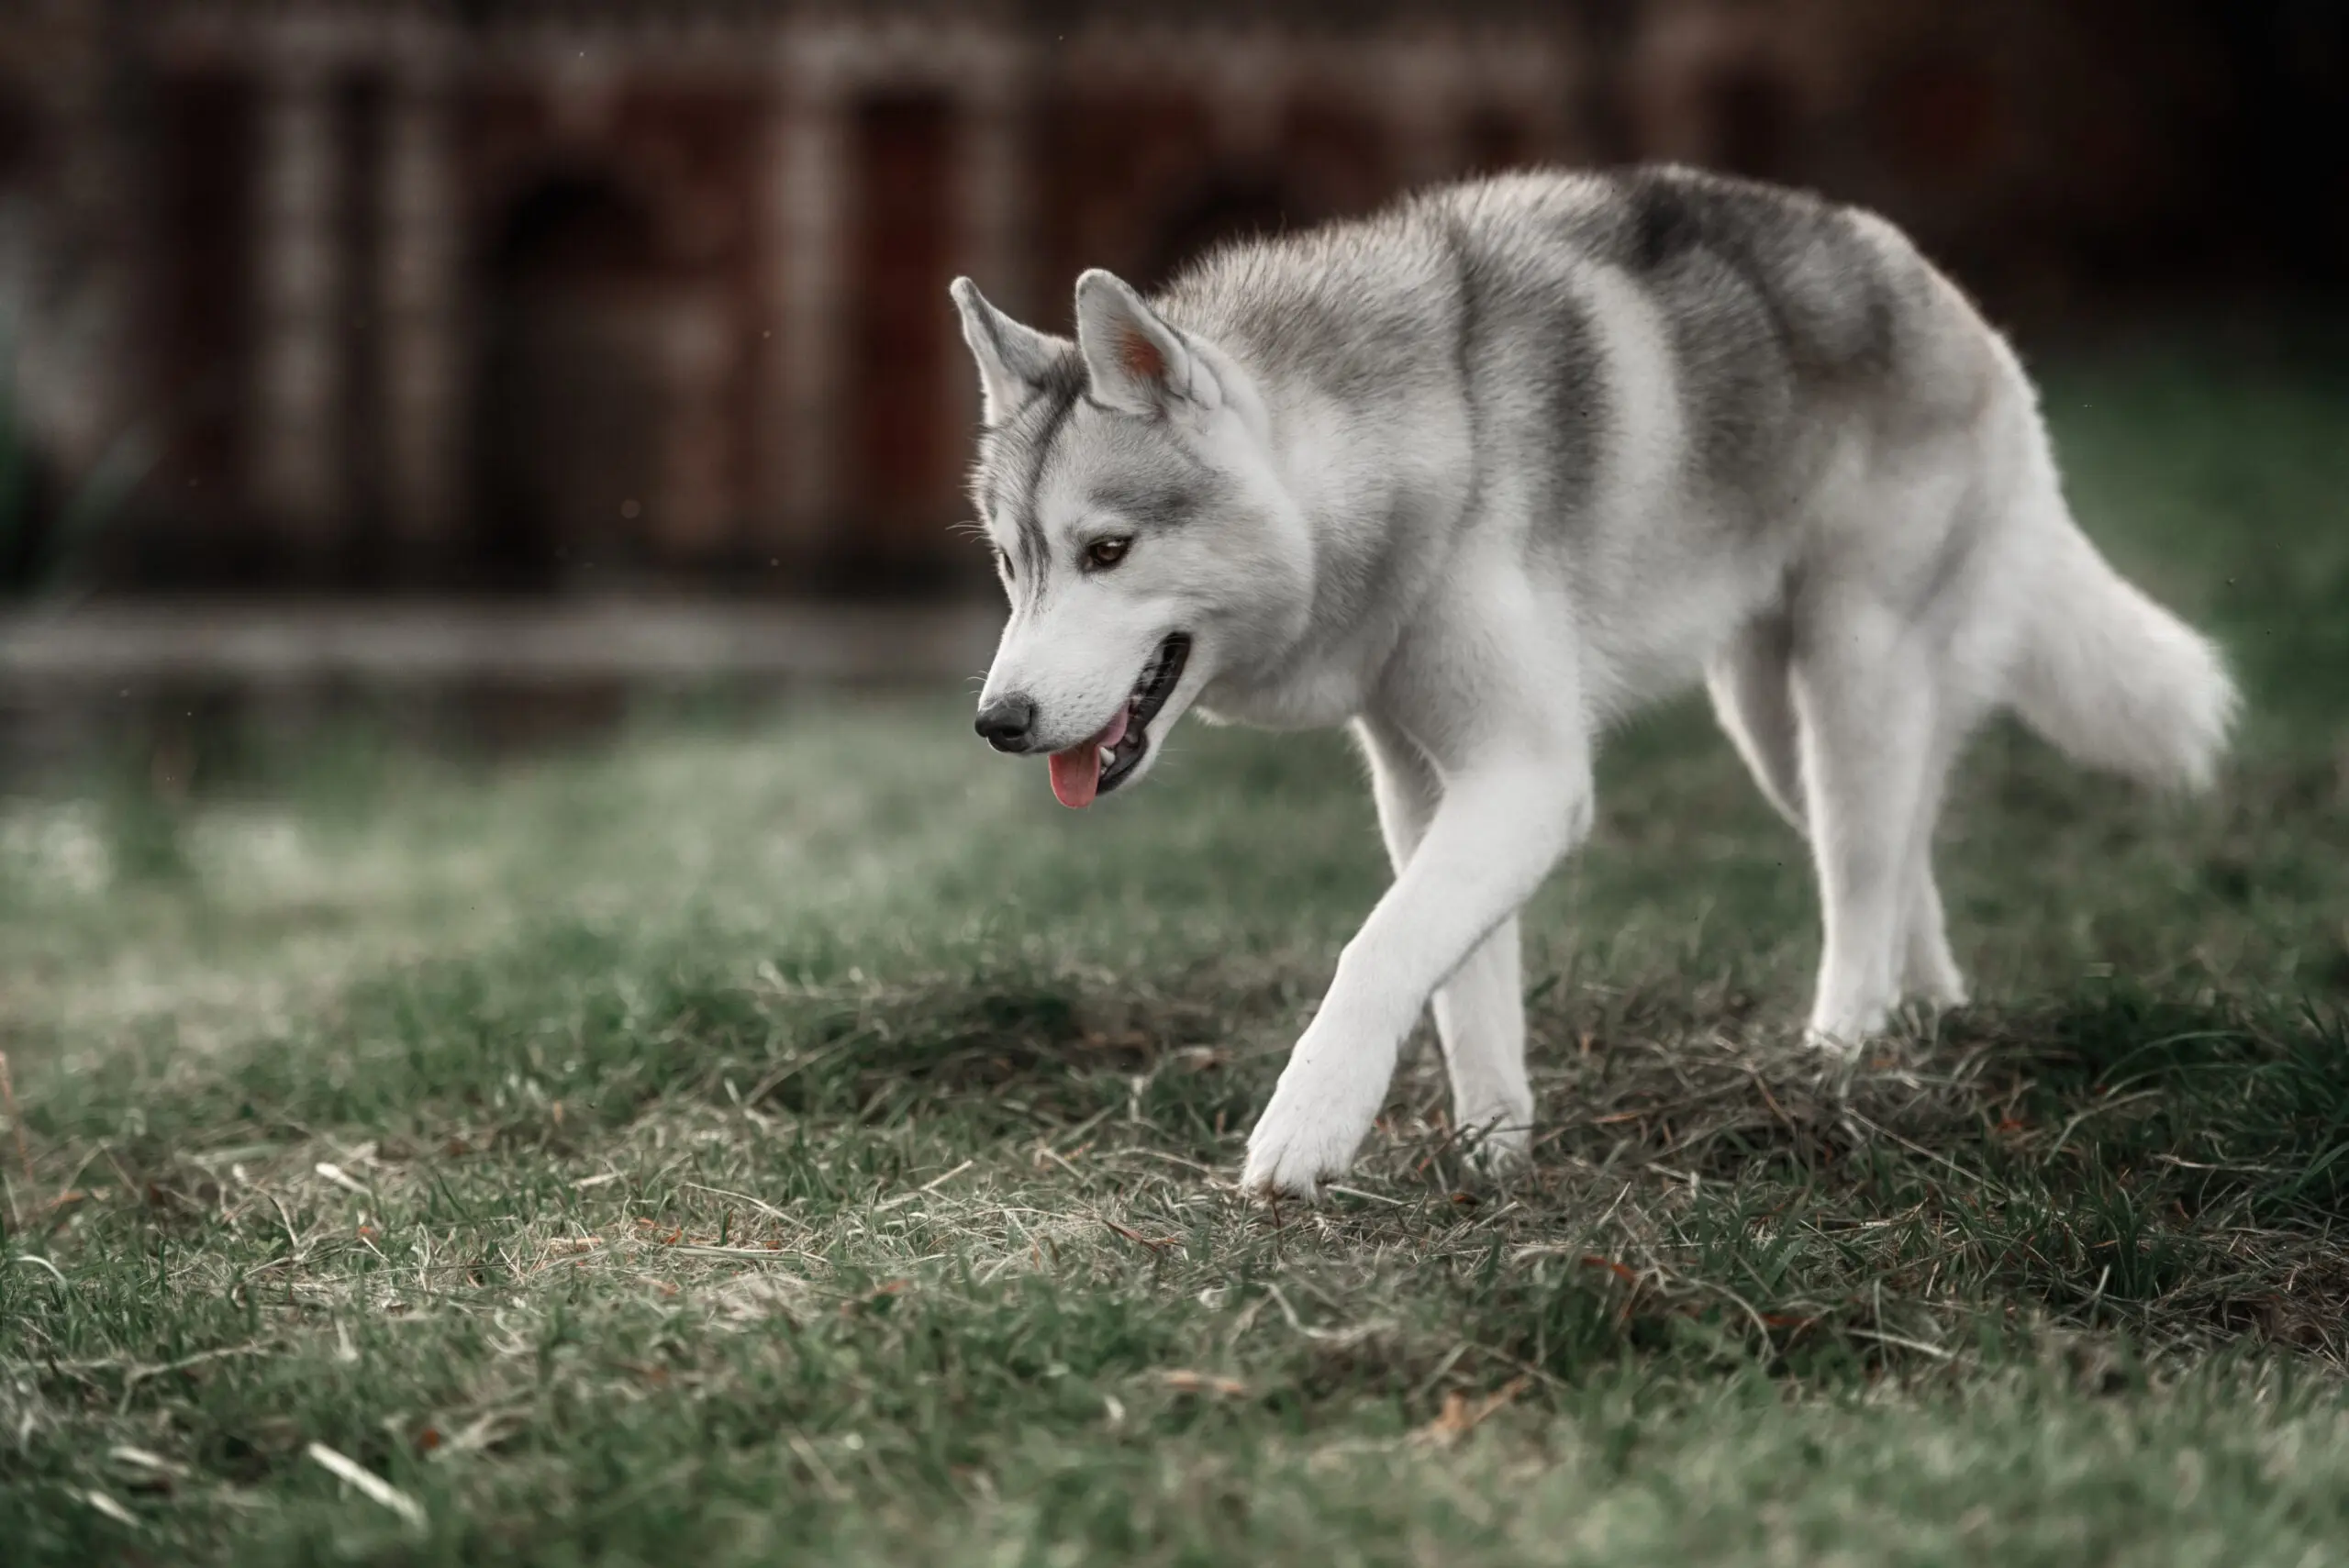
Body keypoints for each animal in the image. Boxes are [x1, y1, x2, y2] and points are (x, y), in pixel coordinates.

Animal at [949, 165, 2217, 1192]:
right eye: (1012, 565)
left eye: (1107, 550)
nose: (997, 721)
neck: (1401, 458)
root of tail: (1954, 305)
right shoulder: (1431, 786)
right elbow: (1463, 987)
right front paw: (1491, 1160)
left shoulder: (1528, 776)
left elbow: (1380, 948)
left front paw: (1309, 1127)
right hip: (1776, 727)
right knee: (1907, 860)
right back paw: (1934, 1023)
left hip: (1847, 684)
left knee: (1861, 879)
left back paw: (1844, 1055)